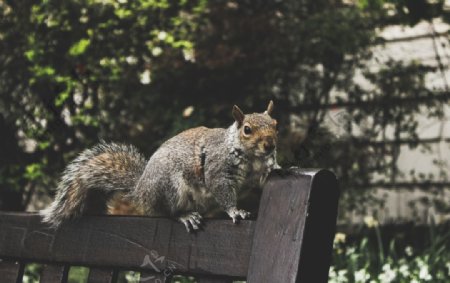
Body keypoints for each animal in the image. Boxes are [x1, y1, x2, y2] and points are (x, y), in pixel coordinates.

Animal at [43, 102, 282, 233]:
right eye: (247, 130)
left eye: (276, 125)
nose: (270, 144)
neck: (252, 157)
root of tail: (140, 191)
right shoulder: (217, 167)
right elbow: (222, 190)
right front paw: (235, 211)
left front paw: (280, 168)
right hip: (170, 188)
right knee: (165, 212)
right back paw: (185, 216)